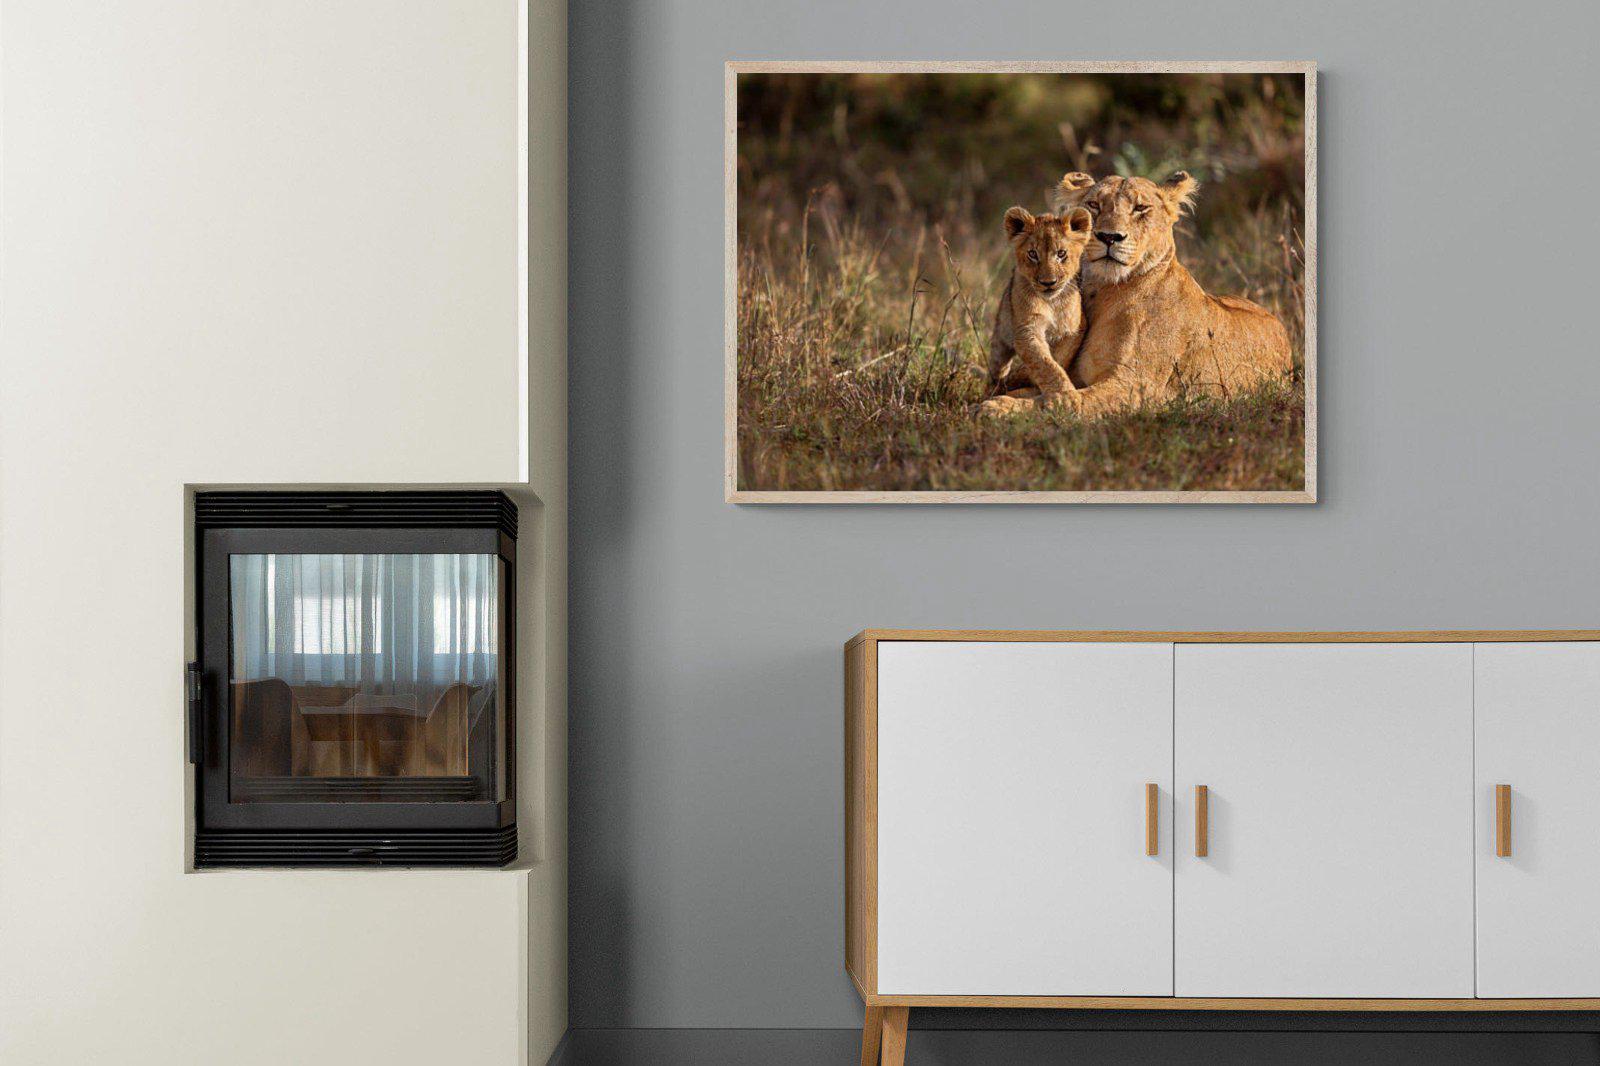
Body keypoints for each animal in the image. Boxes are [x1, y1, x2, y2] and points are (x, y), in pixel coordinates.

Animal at [985, 204, 1094, 402]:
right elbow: (1044, 363)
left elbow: (1058, 358)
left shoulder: (1075, 328)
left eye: (1061, 254)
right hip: (1000, 339)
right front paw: (1064, 395)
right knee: (996, 370)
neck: (1051, 302)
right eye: (1033, 254)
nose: (1048, 282)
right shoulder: (1027, 330)